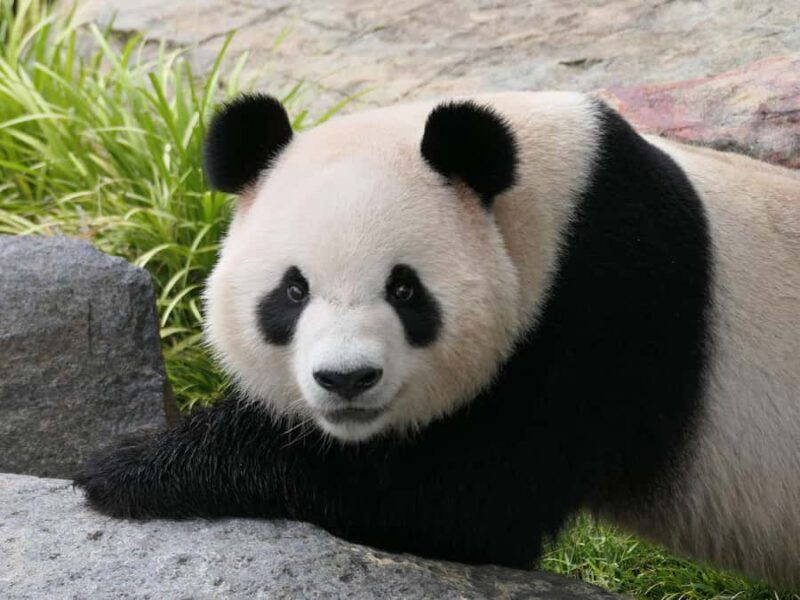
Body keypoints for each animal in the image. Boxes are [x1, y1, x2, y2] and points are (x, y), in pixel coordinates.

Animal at [75, 91, 800, 589]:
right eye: (293, 291)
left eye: (404, 290)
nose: (347, 379)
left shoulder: (603, 312)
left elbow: (454, 503)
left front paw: (127, 466)